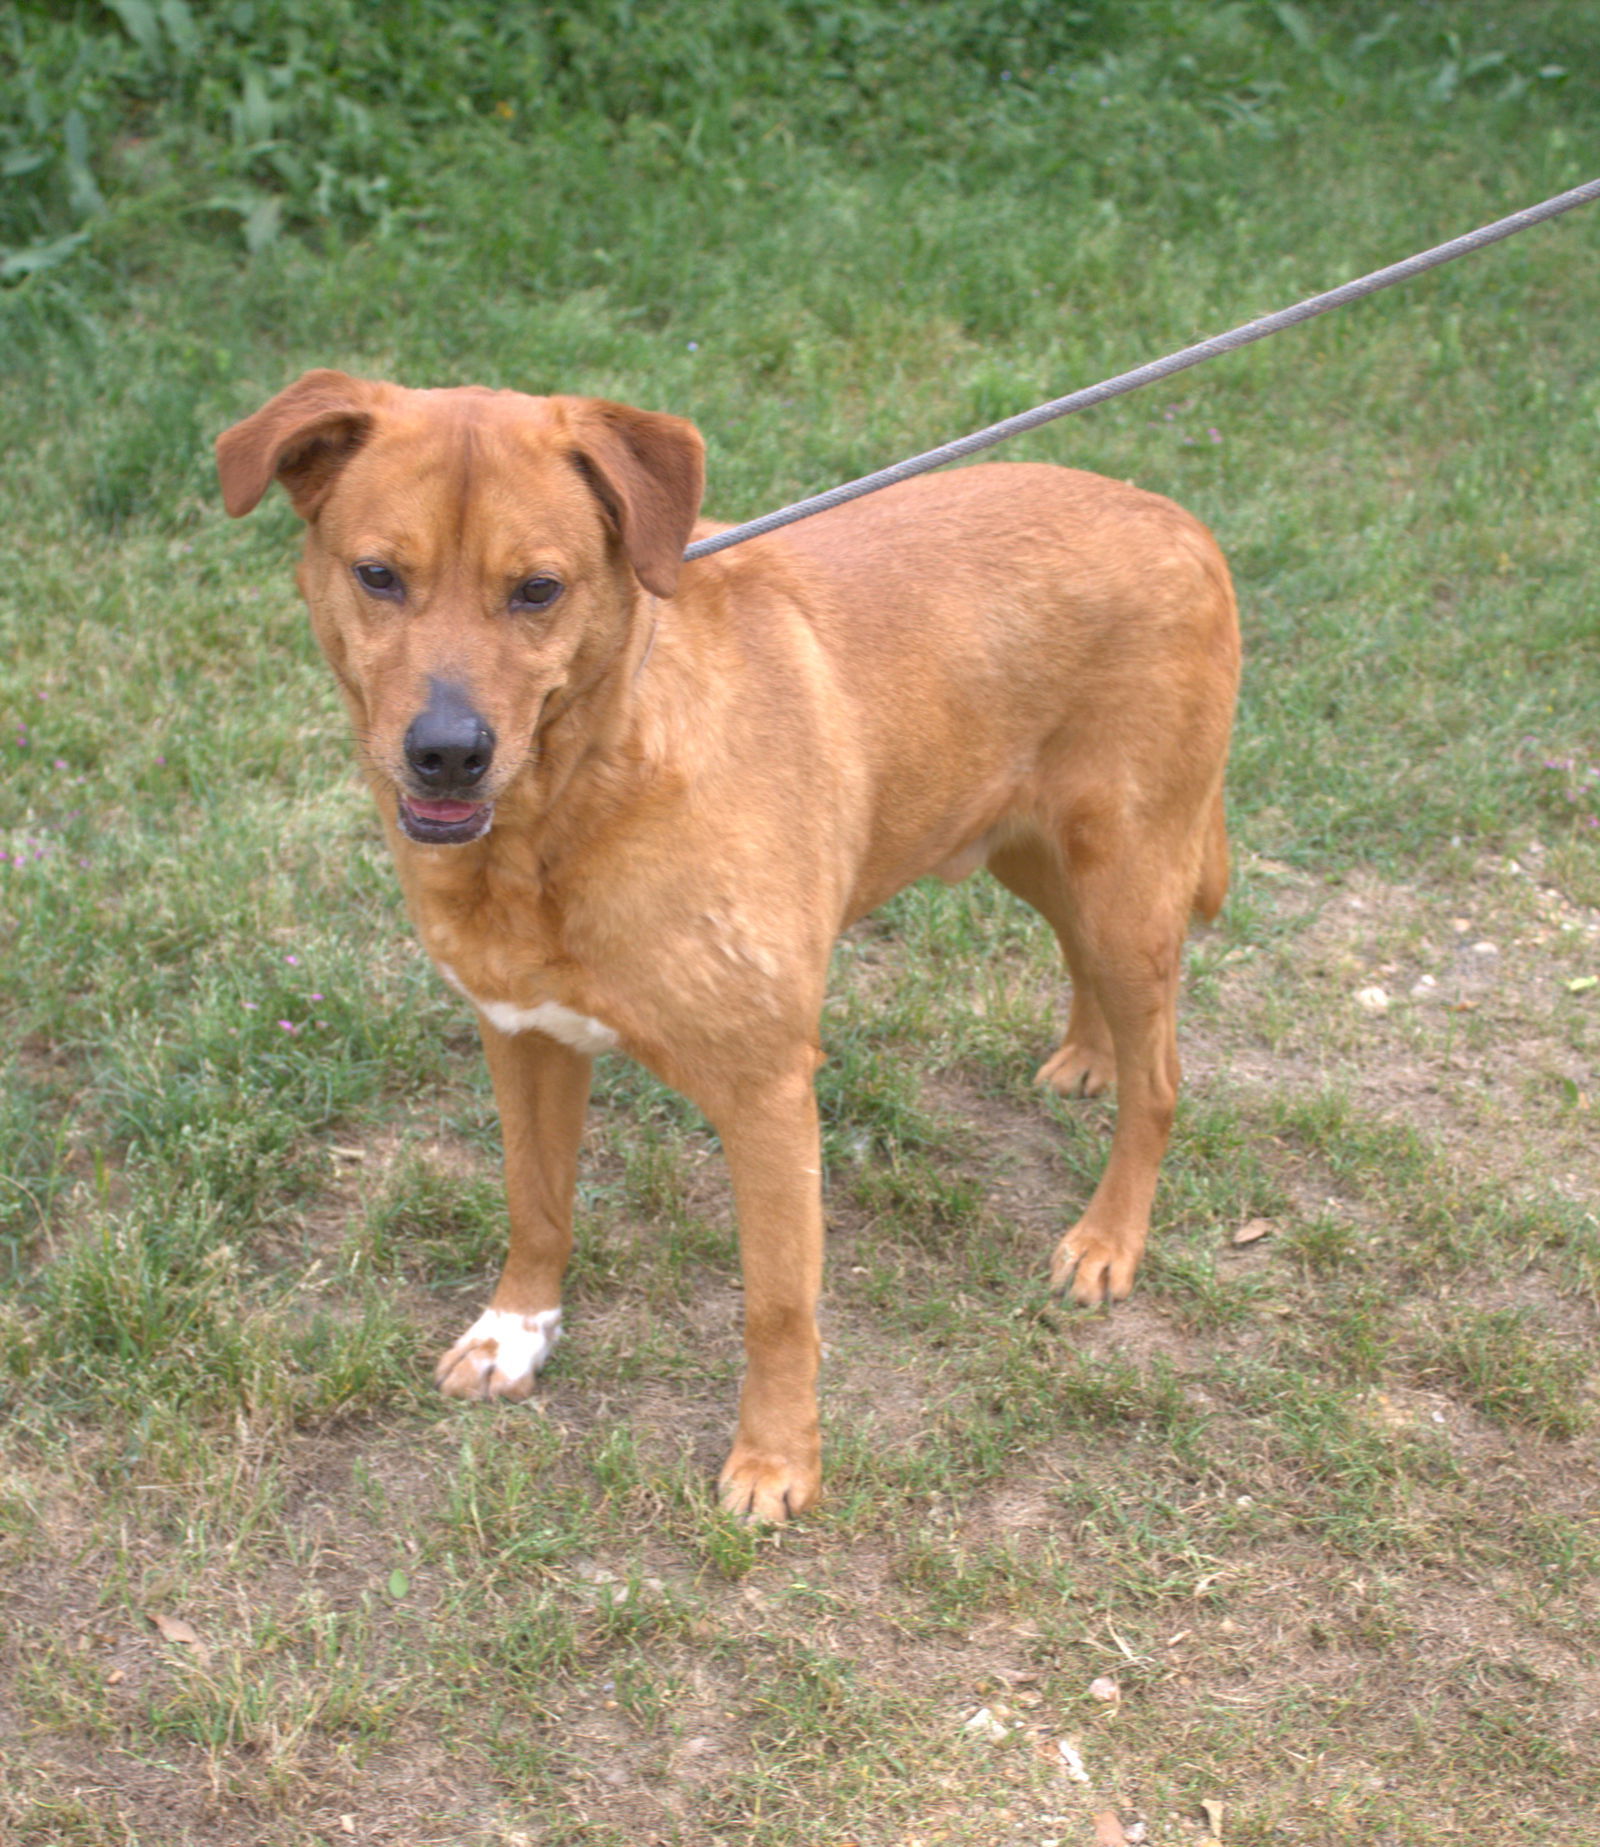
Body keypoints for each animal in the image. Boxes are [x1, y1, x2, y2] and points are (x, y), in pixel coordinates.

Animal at [215, 371, 1234, 1514]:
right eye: (379, 576)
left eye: (537, 590)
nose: (446, 753)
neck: (571, 805)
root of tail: (1176, 516)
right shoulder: (523, 1035)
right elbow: (536, 1205)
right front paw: (516, 1332)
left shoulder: (767, 1091)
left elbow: (777, 1306)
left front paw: (776, 1460)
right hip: (1033, 851)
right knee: (1086, 972)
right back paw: (1088, 1056)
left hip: (1126, 885)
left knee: (1163, 1077)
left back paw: (1107, 1237)